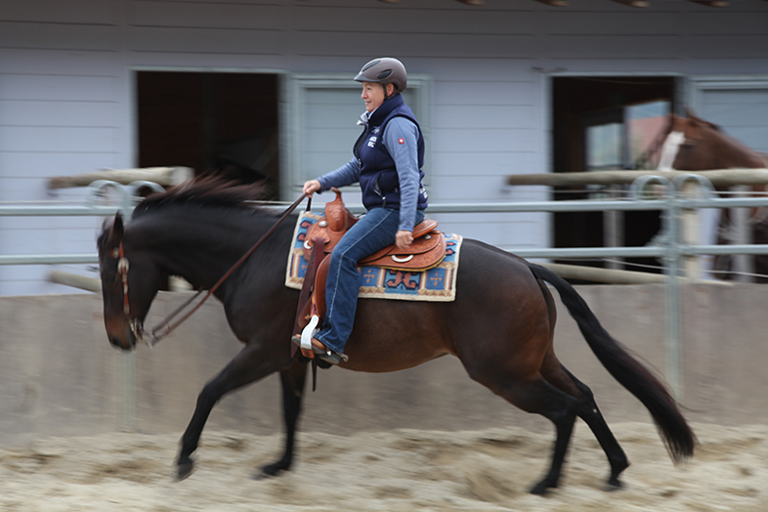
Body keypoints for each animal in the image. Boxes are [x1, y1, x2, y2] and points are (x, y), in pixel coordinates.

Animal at [96, 178, 696, 494]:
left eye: (110, 269)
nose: (118, 339)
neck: (254, 258)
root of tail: (527, 267)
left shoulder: (261, 351)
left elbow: (209, 391)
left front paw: (183, 460)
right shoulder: (289, 356)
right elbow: (291, 411)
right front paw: (279, 466)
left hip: (504, 372)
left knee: (564, 408)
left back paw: (547, 483)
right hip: (532, 360)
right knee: (586, 397)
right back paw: (614, 471)